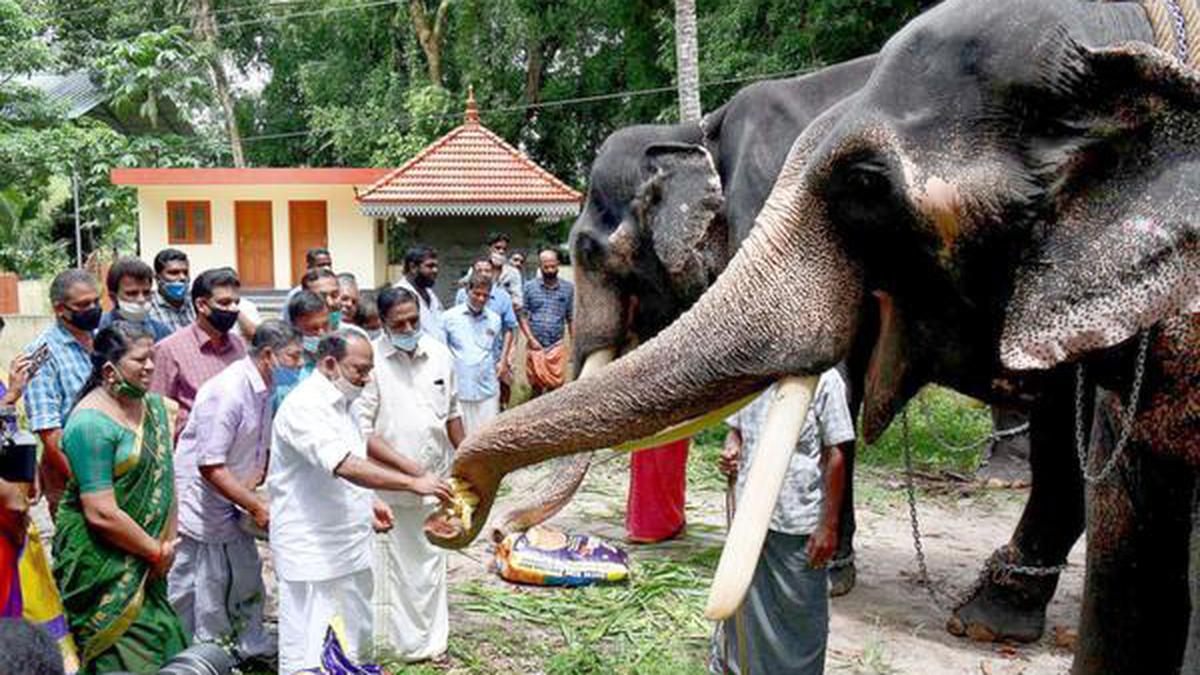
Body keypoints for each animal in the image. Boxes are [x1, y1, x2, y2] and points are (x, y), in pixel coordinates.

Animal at [432, 2, 1200, 667]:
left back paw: (987, 612)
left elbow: (838, 383)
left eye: (590, 252)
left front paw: (829, 572)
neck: (696, 126)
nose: (487, 524)